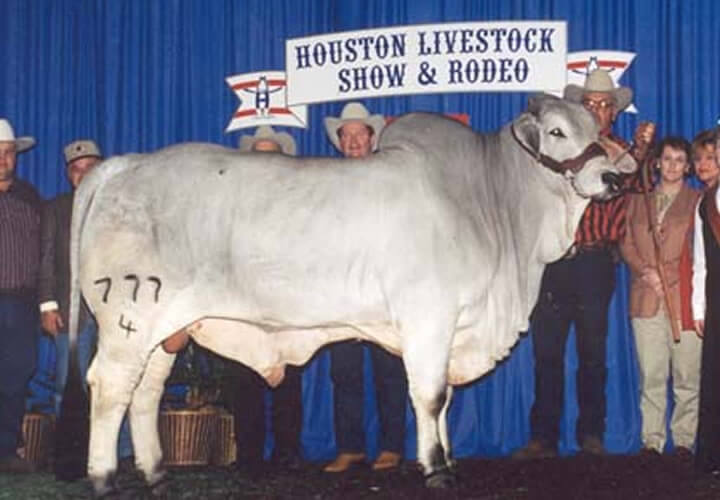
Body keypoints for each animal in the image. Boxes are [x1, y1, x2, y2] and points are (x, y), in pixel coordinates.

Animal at [67, 94, 624, 496]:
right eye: (557, 131)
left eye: (597, 130)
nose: (612, 178)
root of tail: (123, 166)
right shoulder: (429, 318)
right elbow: (430, 395)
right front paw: (436, 469)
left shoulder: (449, 329)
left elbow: (442, 399)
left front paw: (447, 457)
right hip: (128, 319)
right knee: (110, 386)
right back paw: (103, 477)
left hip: (168, 330)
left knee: (145, 391)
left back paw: (157, 473)